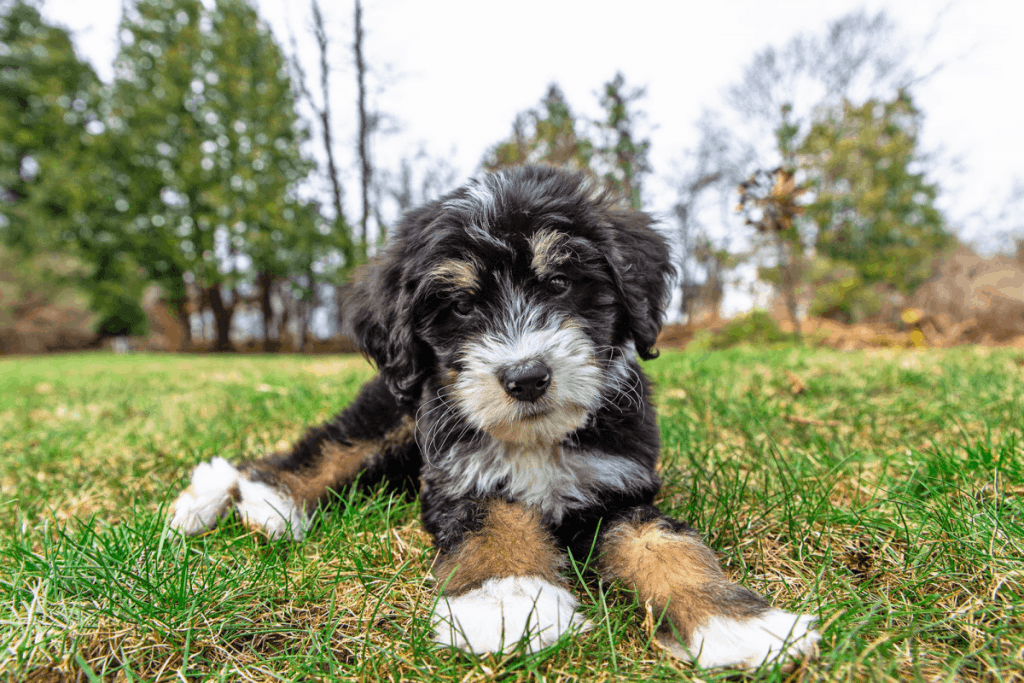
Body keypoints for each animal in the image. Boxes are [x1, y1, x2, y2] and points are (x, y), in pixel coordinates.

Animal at [172, 166, 819, 671]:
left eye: (559, 282)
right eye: (460, 306)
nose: (526, 376)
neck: (536, 439)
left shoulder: (619, 487)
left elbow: (668, 547)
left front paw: (737, 624)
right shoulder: (460, 478)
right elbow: (498, 522)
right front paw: (511, 601)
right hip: (397, 410)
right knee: (327, 447)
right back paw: (251, 496)